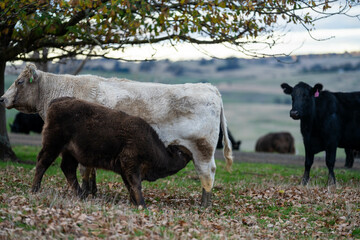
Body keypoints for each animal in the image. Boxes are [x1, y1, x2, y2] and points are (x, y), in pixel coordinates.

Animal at [32, 97, 193, 208]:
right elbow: (136, 185)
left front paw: (135, 203)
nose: (190, 155)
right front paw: (142, 205)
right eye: (180, 152)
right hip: (53, 146)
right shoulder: (131, 164)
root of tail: (56, 102)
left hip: (69, 153)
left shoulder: (124, 169)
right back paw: (35, 190)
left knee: (67, 169)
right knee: (42, 164)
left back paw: (81, 195)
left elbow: (130, 186)